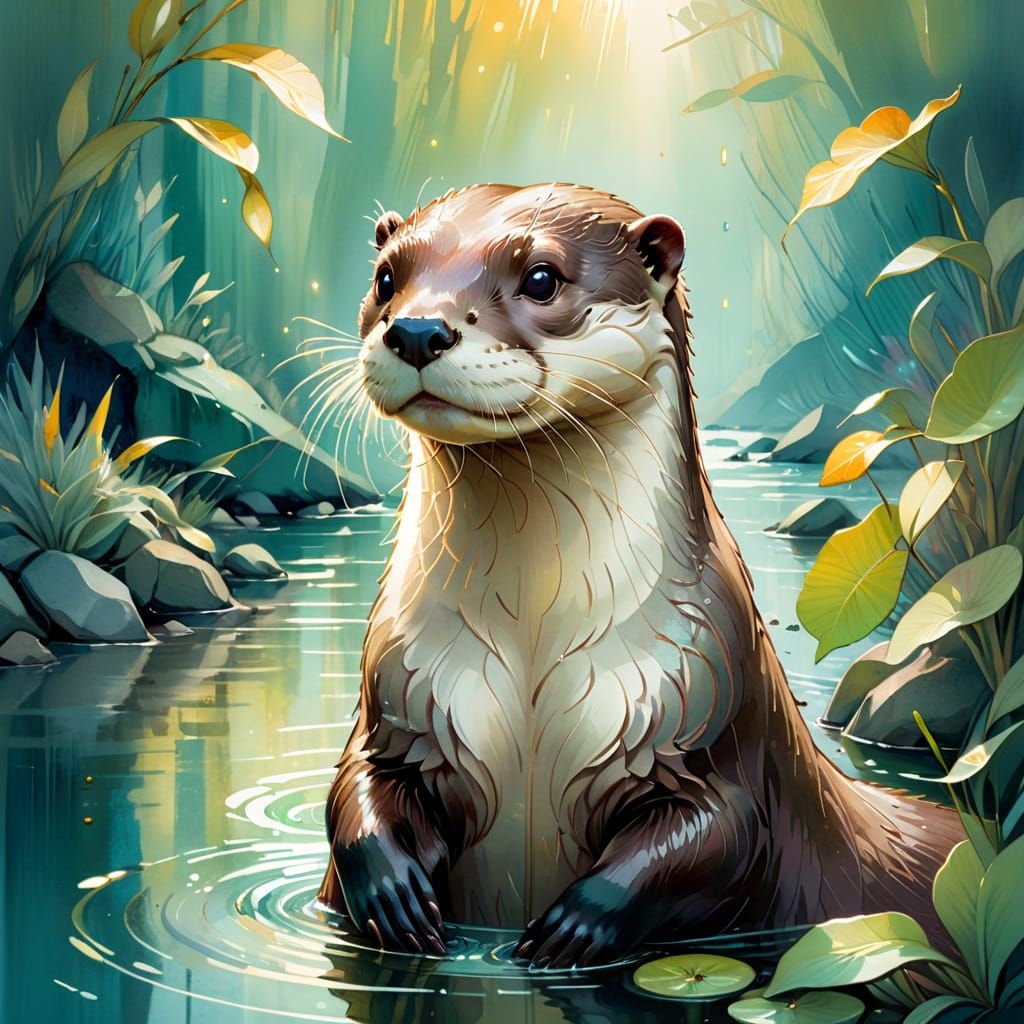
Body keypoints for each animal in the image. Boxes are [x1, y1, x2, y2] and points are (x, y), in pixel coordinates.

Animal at [318, 183, 962, 968]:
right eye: (386, 278)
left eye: (541, 277)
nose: (415, 329)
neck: (530, 638)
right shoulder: (399, 693)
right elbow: (357, 785)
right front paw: (394, 895)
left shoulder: (708, 708)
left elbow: (720, 830)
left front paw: (572, 927)